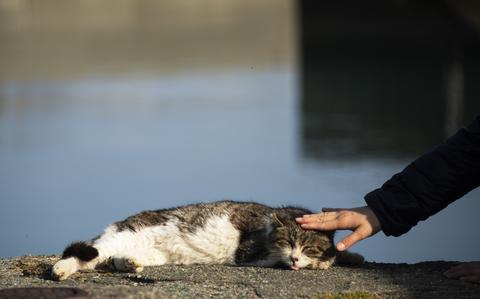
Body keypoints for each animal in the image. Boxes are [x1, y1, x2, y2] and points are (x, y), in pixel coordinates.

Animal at [50, 202, 362, 282]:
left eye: (308, 247)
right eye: (288, 243)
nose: (296, 258)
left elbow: (338, 252)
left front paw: (348, 257)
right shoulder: (249, 252)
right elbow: (275, 259)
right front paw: (320, 264)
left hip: (146, 253)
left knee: (104, 261)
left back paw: (129, 263)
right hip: (118, 238)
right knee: (82, 255)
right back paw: (60, 270)